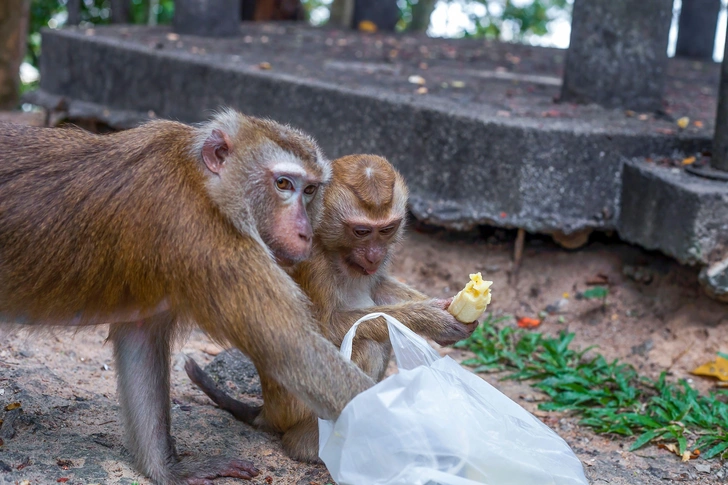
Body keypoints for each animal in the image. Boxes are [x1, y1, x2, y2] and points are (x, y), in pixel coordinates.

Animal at [0, 110, 376, 484]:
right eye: (283, 184)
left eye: (310, 190)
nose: (305, 232)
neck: (205, 185)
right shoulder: (208, 241)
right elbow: (293, 352)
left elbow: (140, 338)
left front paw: (170, 470)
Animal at [186, 154, 478, 462]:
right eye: (361, 231)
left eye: (387, 229)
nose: (375, 255)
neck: (333, 248)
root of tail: (270, 411)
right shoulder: (313, 262)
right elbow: (315, 331)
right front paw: (432, 319)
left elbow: (378, 287)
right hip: (297, 405)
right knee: (368, 346)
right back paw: (313, 446)